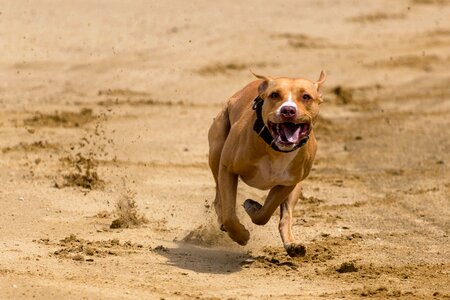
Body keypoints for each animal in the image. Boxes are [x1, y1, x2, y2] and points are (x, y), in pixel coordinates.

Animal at [209, 70, 326, 255]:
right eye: (274, 95)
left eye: (306, 96)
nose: (288, 110)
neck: (276, 149)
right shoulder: (227, 169)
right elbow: (229, 215)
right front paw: (241, 235)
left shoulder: (287, 184)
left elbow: (265, 213)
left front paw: (253, 208)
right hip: (216, 152)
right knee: (219, 199)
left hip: (297, 186)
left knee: (286, 216)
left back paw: (292, 245)